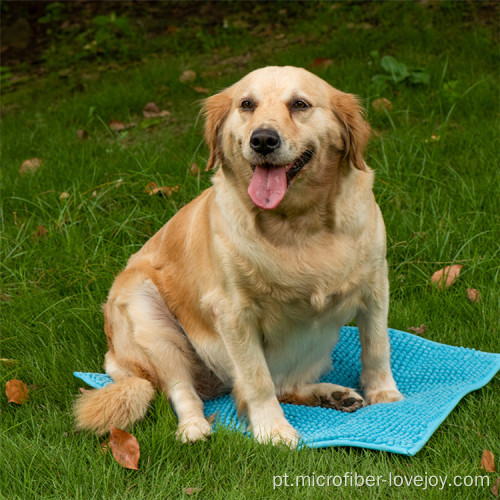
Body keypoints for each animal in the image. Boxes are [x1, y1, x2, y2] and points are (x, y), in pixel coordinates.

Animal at [74, 66, 402, 446]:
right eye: (247, 104)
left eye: (300, 104)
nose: (263, 140)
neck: (299, 225)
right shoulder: (233, 313)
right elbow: (257, 380)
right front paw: (273, 430)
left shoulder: (376, 285)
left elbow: (377, 346)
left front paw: (385, 395)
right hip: (148, 314)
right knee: (183, 390)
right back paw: (193, 428)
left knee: (286, 385)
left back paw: (331, 394)